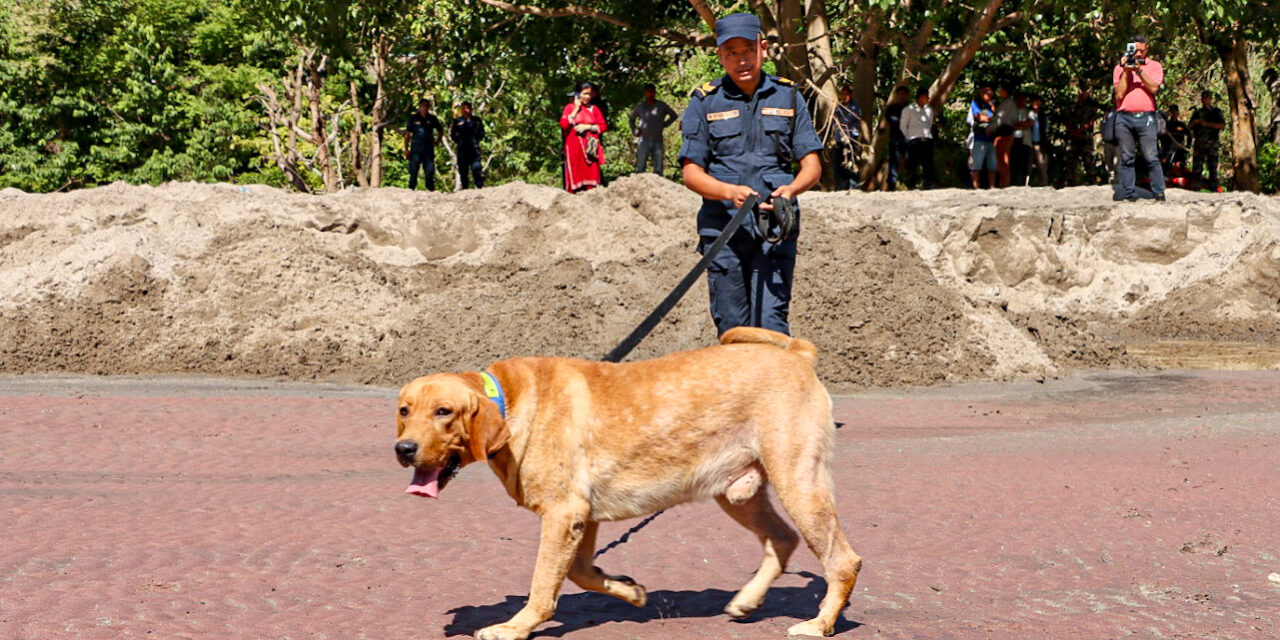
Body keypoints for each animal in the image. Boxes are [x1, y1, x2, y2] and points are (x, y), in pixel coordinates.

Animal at [394, 327, 865, 637]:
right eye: (404, 410)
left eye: (443, 412)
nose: (404, 449)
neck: (508, 401)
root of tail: (799, 354)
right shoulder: (582, 517)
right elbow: (580, 572)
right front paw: (630, 591)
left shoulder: (563, 514)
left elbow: (543, 583)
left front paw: (516, 627)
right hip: (737, 493)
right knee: (782, 539)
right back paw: (747, 599)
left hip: (797, 482)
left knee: (843, 560)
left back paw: (820, 623)